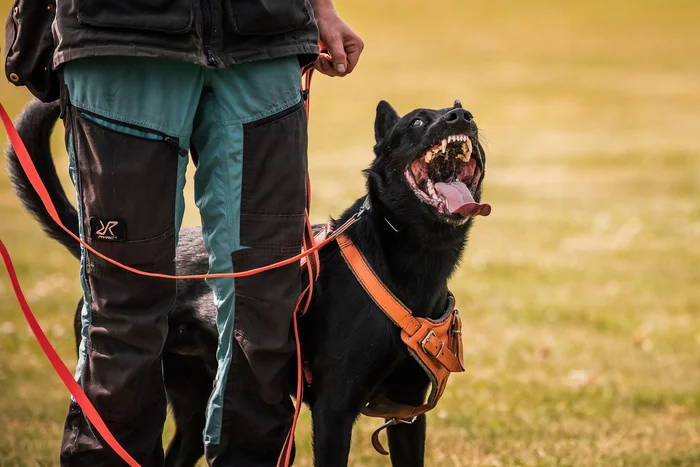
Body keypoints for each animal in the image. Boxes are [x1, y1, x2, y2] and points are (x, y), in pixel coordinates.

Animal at [5, 97, 486, 466]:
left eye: (463, 111)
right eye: (418, 121)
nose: (462, 117)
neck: (410, 260)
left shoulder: (408, 415)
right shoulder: (334, 412)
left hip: (197, 408)